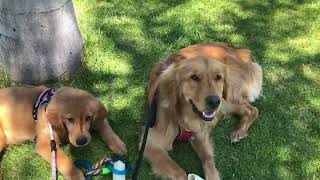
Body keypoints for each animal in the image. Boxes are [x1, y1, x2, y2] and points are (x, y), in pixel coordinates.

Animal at [144, 42, 262, 180]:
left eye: (218, 77)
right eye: (194, 77)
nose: (214, 101)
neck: (185, 118)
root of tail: (240, 50)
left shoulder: (200, 135)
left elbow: (208, 160)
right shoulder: (151, 142)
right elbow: (179, 172)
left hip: (225, 98)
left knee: (252, 109)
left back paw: (238, 132)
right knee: (251, 110)